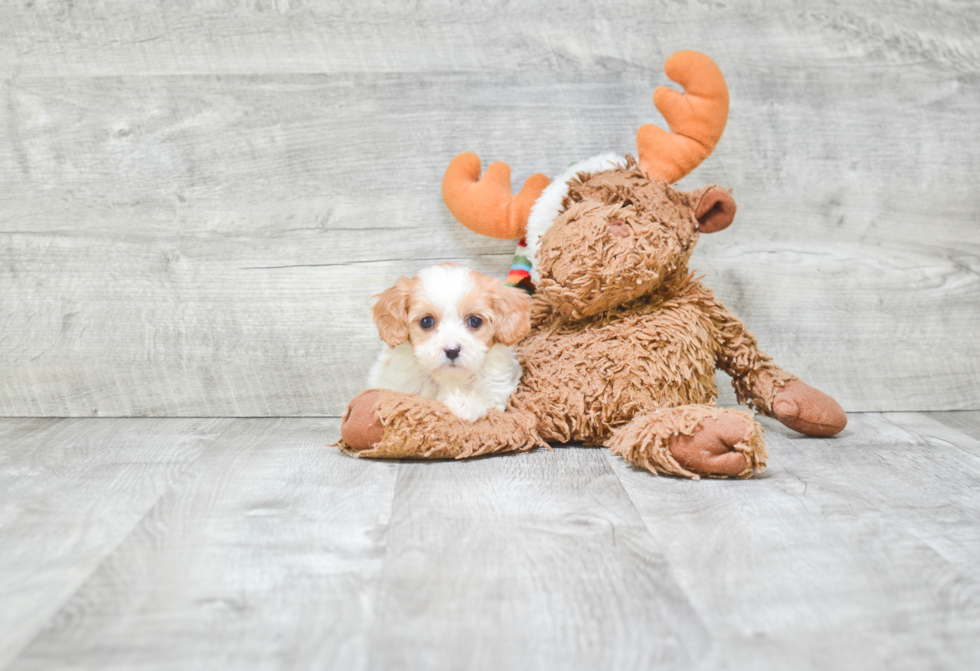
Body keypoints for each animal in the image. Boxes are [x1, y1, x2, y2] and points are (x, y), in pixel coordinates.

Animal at [368, 262, 532, 420]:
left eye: (475, 321)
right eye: (426, 321)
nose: (452, 351)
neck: (450, 378)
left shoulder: (495, 391)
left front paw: (464, 404)